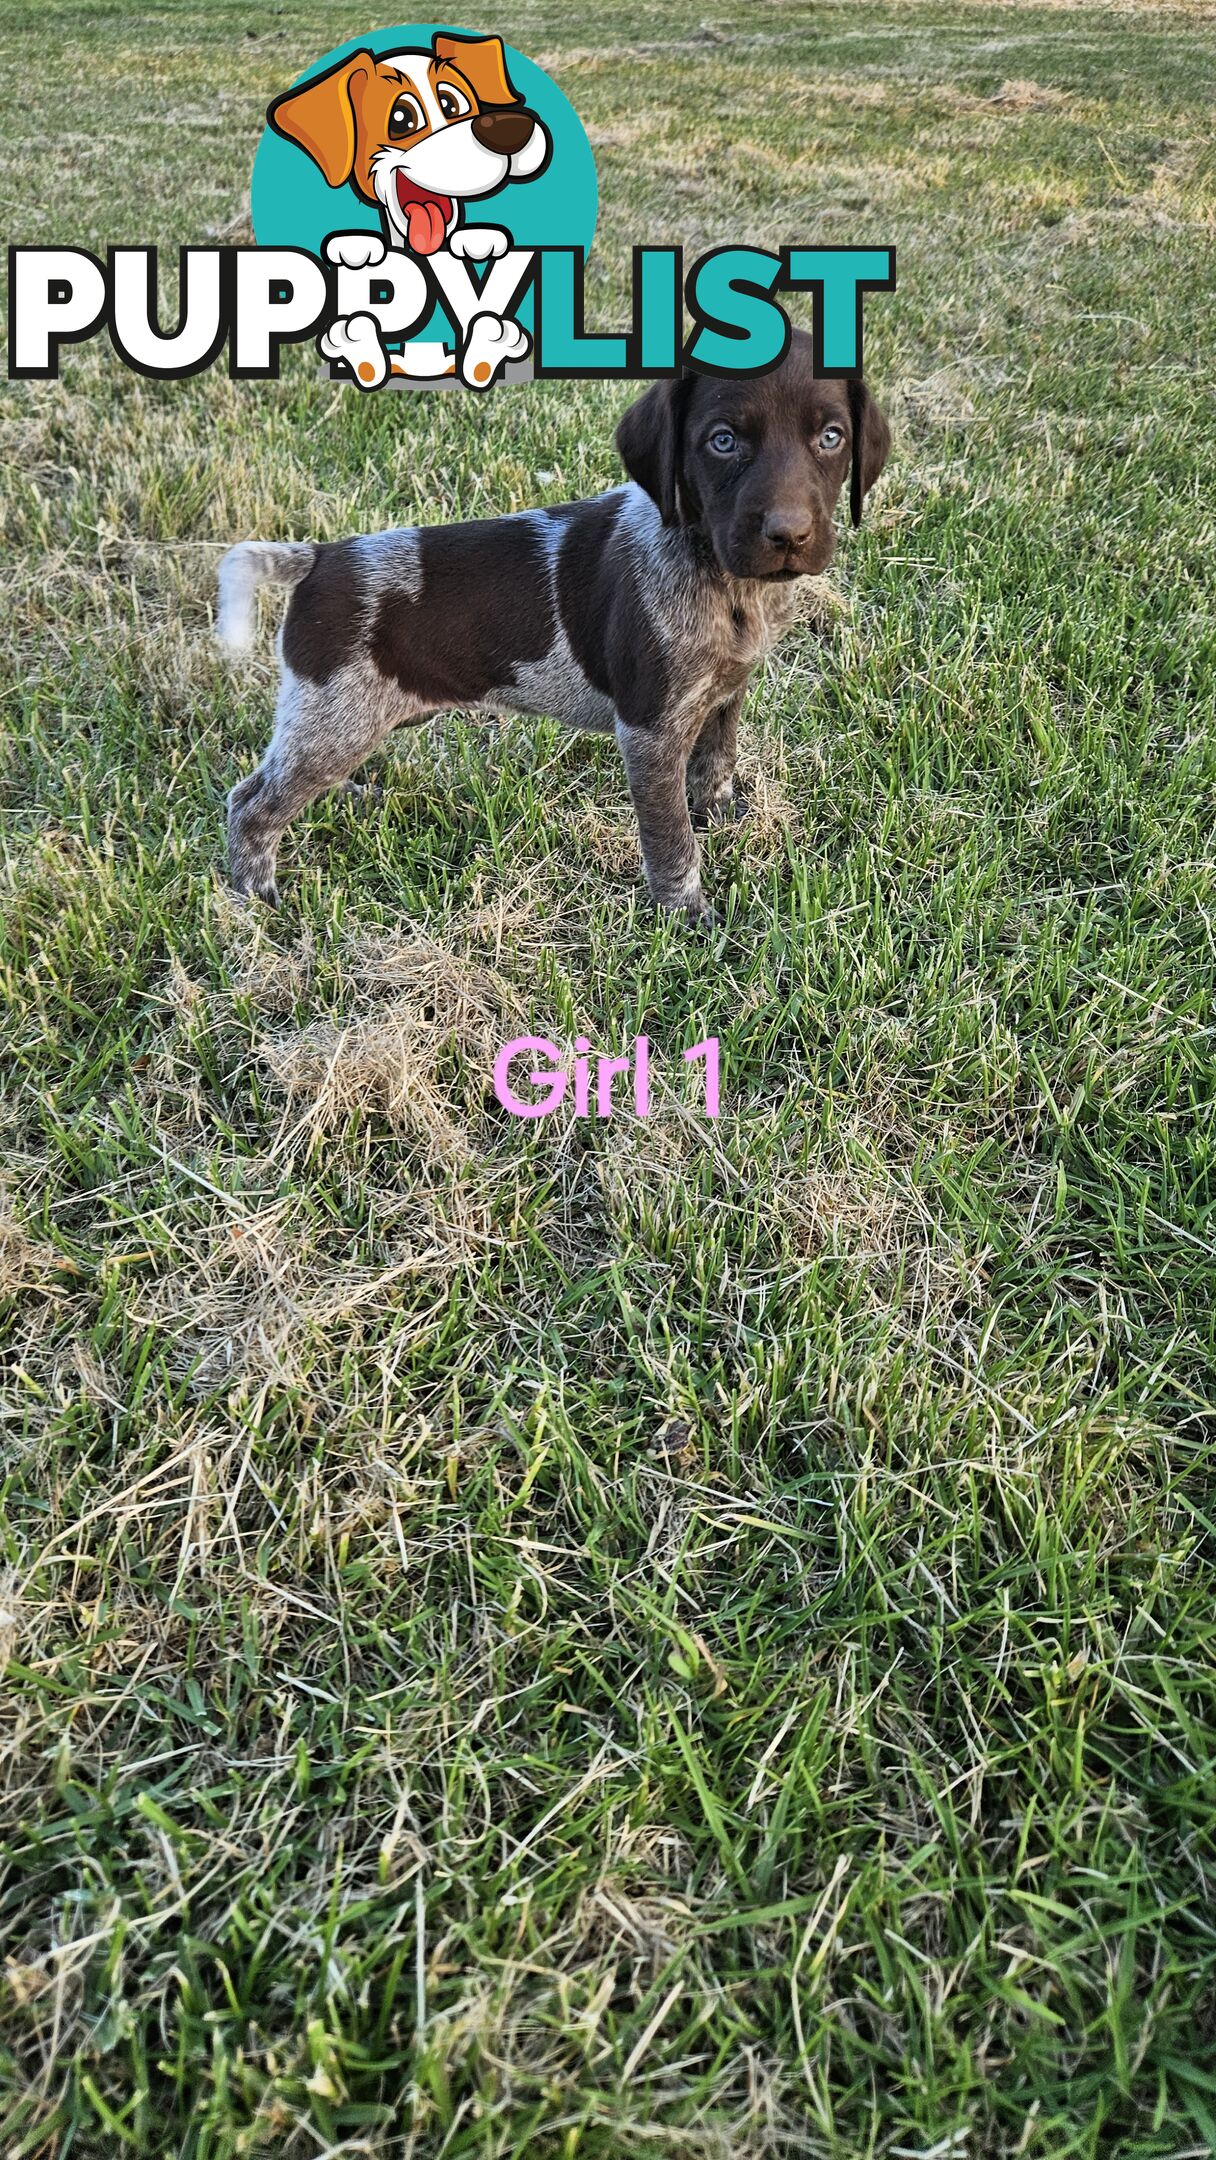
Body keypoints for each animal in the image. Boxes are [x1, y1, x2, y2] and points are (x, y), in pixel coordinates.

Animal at [219, 326, 889, 920]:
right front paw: (687, 916)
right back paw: (256, 899)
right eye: (722, 442)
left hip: (349, 719)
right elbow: (671, 838)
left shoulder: (726, 694)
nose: (789, 534)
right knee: (251, 803)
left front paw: (722, 818)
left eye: (831, 437)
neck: (723, 579)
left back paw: (352, 799)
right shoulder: (650, 731)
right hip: (335, 716)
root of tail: (320, 558)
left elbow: (716, 763)